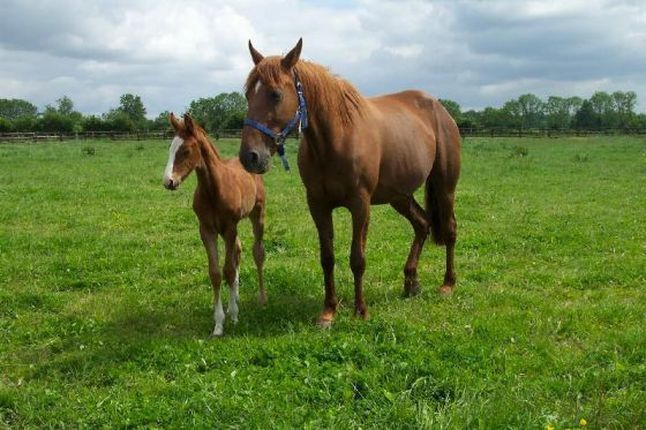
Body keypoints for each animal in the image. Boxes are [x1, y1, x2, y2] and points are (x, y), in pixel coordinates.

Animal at [163, 113, 268, 336]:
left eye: (186, 151)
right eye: (170, 148)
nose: (168, 182)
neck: (213, 189)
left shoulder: (229, 228)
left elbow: (228, 270)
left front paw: (234, 316)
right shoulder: (207, 230)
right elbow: (216, 273)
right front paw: (219, 323)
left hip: (257, 215)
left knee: (257, 253)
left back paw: (261, 299)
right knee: (238, 251)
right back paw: (234, 298)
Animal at [240, 40, 464, 328]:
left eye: (275, 94)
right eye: (248, 95)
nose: (250, 157)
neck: (336, 140)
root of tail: (440, 109)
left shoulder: (360, 205)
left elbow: (357, 259)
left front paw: (360, 310)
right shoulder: (318, 205)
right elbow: (327, 258)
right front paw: (328, 311)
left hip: (445, 186)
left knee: (450, 229)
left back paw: (447, 284)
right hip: (399, 196)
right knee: (422, 224)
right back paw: (411, 282)